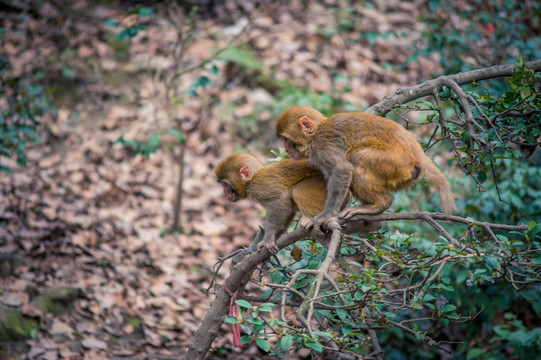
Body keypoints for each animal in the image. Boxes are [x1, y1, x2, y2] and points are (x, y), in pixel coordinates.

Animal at [215, 153, 380, 253]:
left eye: (226, 185)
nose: (224, 194)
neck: (251, 180)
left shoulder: (259, 187)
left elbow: (281, 200)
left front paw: (268, 237)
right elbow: (288, 209)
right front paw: (275, 237)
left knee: (298, 190)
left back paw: (312, 220)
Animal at [274, 105, 456, 232]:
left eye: (286, 139)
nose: (286, 149)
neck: (315, 134)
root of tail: (415, 147)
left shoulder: (322, 146)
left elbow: (342, 169)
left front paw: (325, 215)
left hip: (396, 162)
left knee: (356, 159)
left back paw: (380, 204)